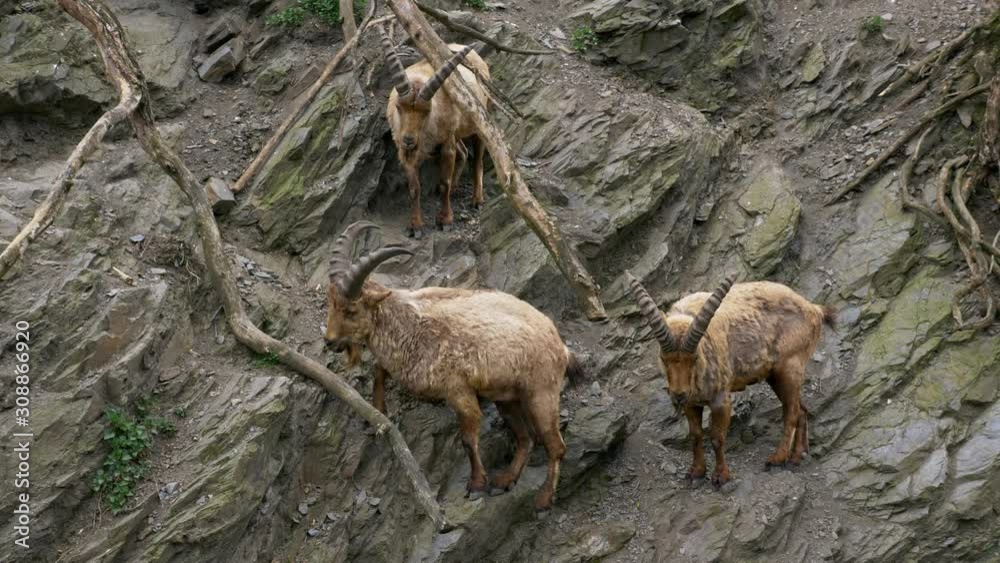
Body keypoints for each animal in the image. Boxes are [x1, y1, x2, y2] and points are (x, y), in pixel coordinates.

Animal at [325, 221, 579, 512]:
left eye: (351, 310)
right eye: (330, 302)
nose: (329, 341)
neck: (411, 326)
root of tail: (561, 347)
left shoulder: (458, 390)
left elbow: (468, 437)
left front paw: (476, 484)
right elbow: (380, 370)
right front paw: (377, 412)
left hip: (541, 394)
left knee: (554, 445)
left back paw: (543, 499)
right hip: (507, 398)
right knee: (526, 438)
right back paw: (504, 481)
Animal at [380, 29, 491, 239]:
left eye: (426, 111)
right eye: (398, 107)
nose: (408, 140)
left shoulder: (446, 144)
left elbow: (443, 183)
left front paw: (445, 221)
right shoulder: (405, 152)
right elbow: (414, 188)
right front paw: (415, 226)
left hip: (478, 123)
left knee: (477, 160)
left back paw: (477, 200)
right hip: (456, 133)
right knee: (464, 152)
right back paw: (456, 189)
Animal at [624, 272, 835, 486]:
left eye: (694, 358)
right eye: (663, 358)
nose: (678, 395)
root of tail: (814, 309)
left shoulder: (721, 399)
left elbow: (717, 438)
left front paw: (721, 476)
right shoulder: (691, 403)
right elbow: (695, 436)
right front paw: (696, 472)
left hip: (789, 367)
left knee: (791, 412)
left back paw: (778, 458)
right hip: (775, 376)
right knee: (801, 409)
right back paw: (797, 456)